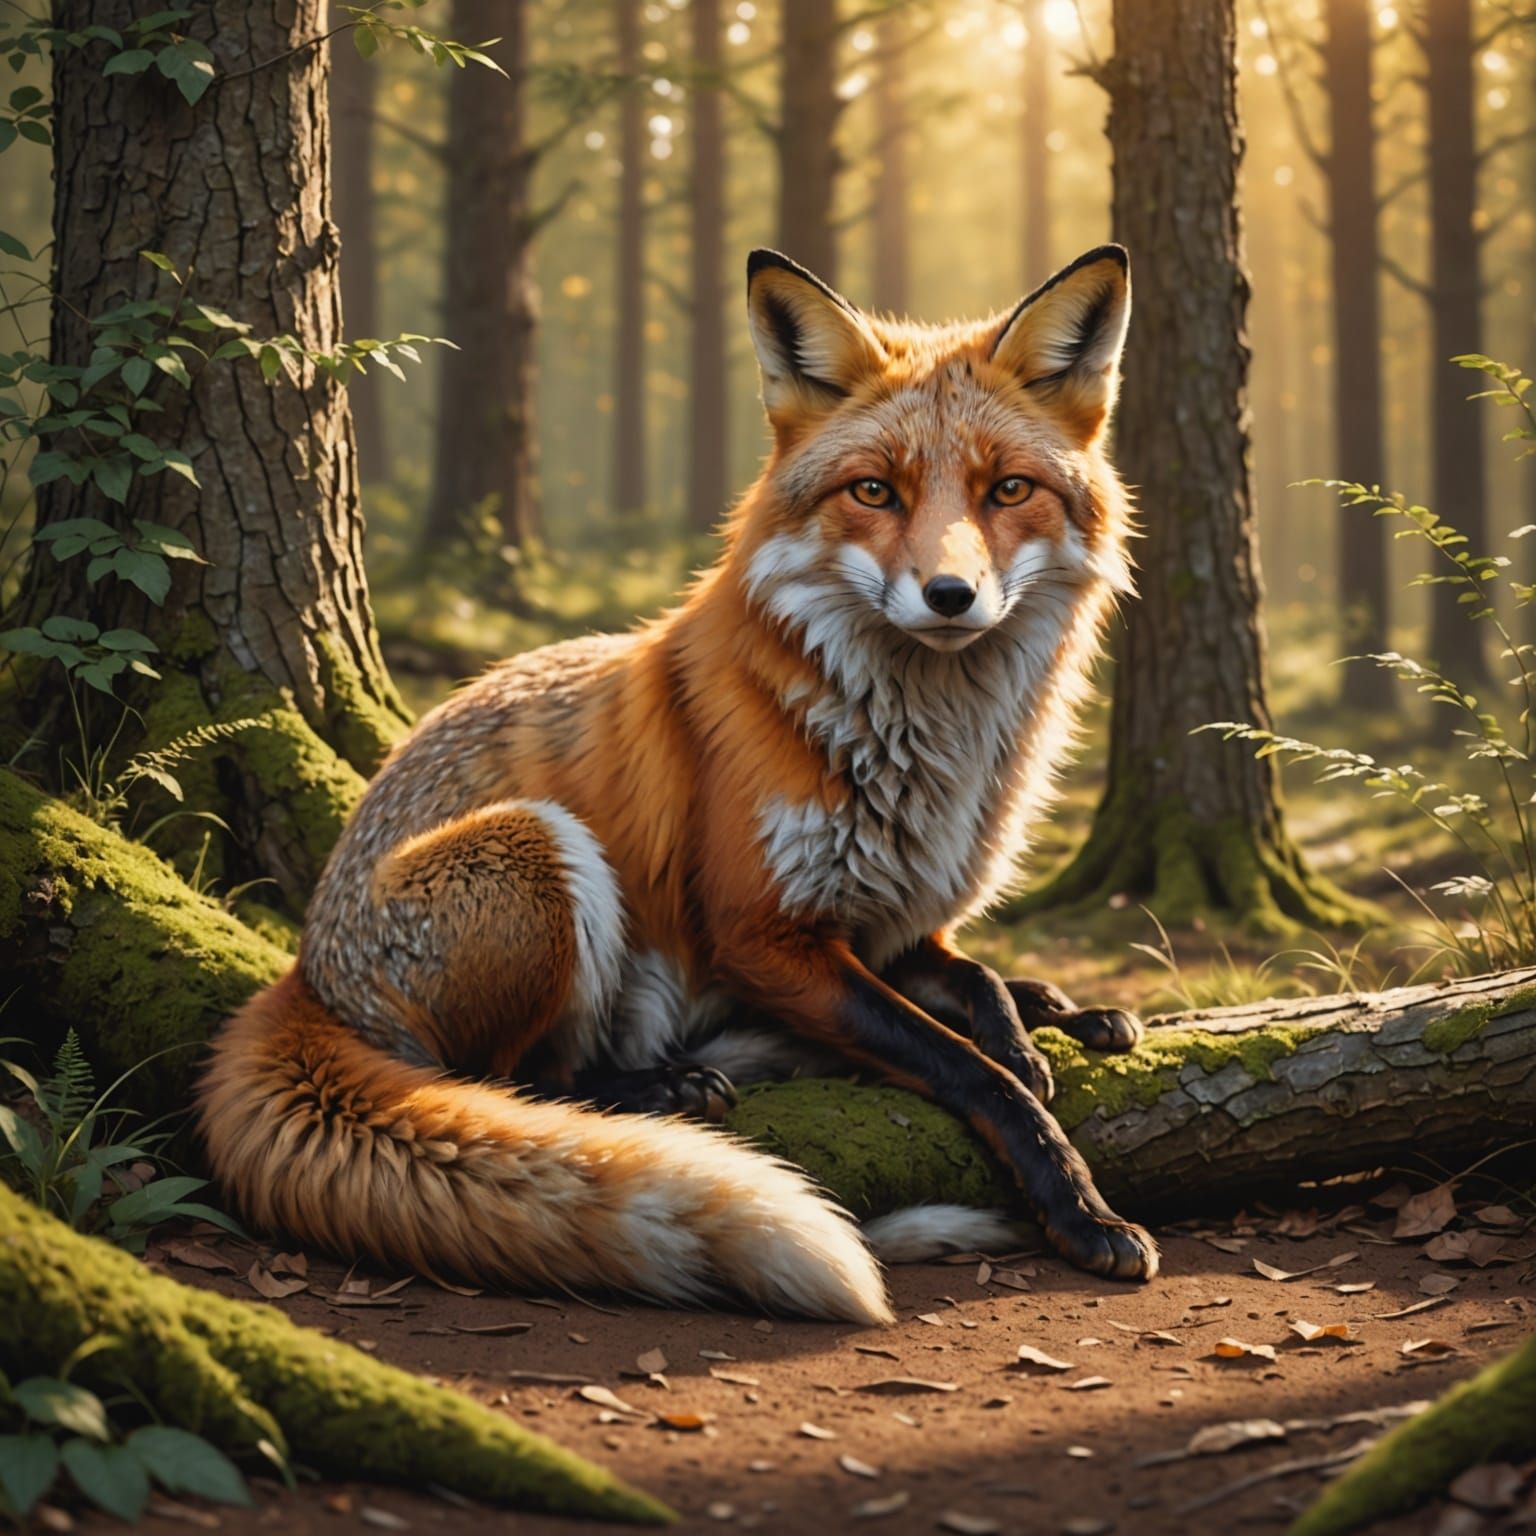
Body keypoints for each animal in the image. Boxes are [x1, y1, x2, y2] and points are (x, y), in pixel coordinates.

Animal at [198, 244, 1160, 1327]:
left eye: (1008, 490)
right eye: (875, 492)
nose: (950, 596)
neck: (930, 755)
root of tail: (304, 969)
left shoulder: (889, 919)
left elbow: (977, 984)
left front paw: (1031, 1025)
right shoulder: (763, 933)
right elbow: (970, 1069)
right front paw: (1078, 1203)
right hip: (539, 850)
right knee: (520, 1077)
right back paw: (661, 1088)